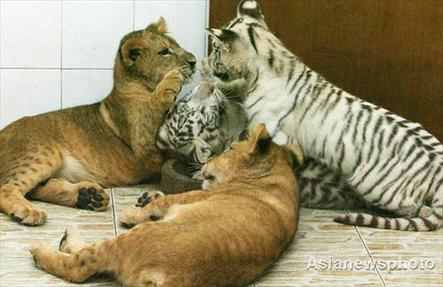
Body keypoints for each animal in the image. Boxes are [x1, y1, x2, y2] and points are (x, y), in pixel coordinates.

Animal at [207, 0, 443, 232]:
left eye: (216, 51)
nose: (207, 63)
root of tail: (438, 166)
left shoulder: (272, 131)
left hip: (376, 186)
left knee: (417, 209)